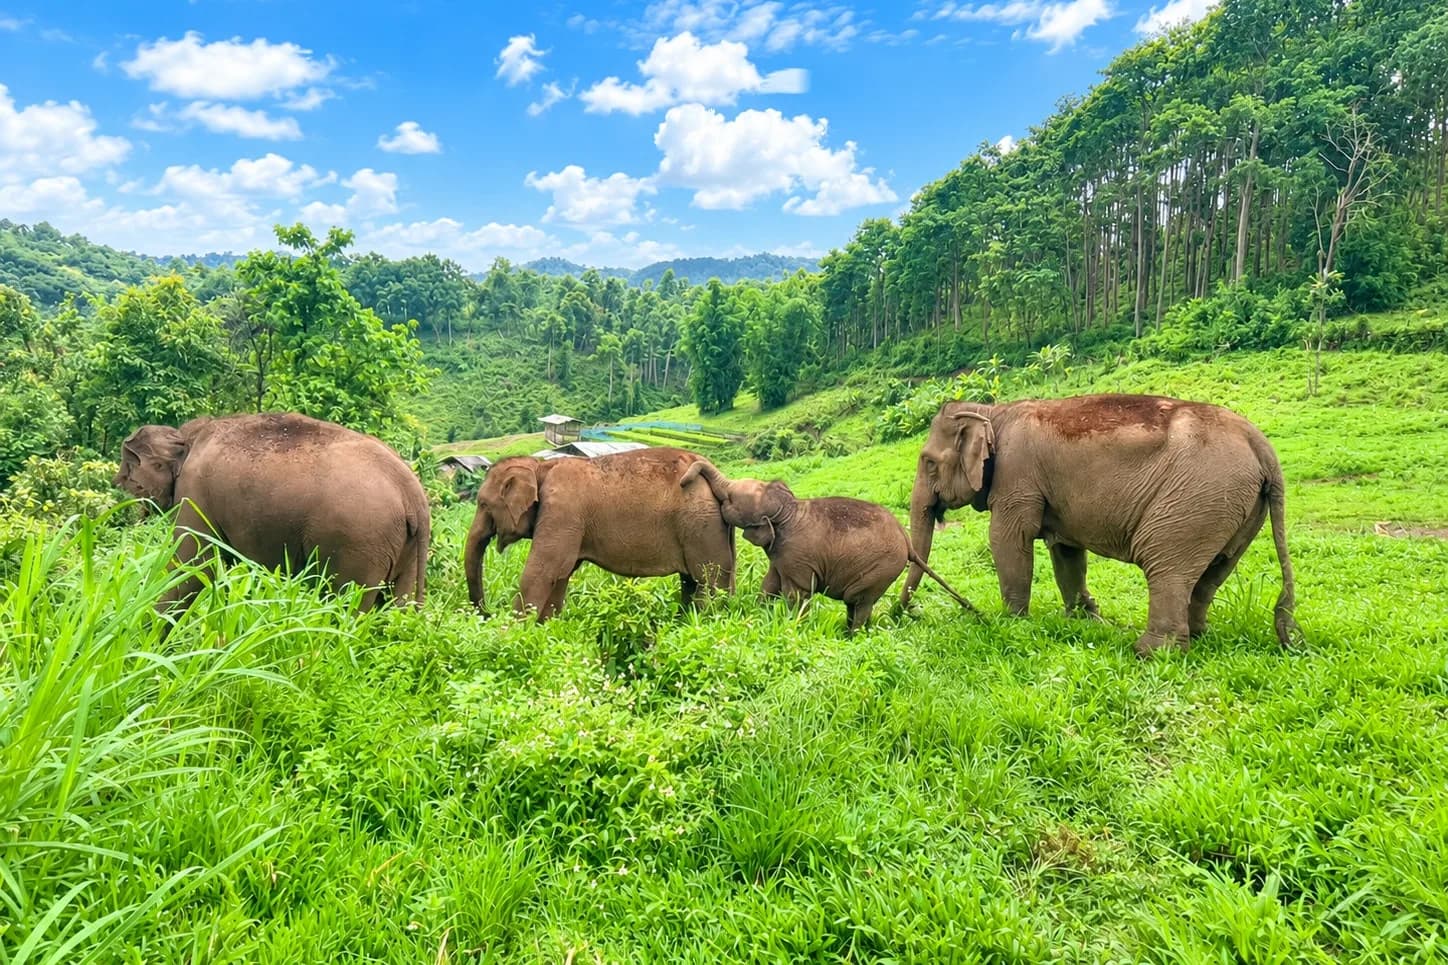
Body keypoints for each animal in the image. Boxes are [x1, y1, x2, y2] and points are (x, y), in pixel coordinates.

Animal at [113, 412, 431, 626]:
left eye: (128, 473)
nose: (118, 483)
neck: (185, 438)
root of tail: (412, 492)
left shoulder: (195, 493)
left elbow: (193, 566)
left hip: (358, 542)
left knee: (346, 605)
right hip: (405, 548)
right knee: (398, 607)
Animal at [464, 447, 735, 621]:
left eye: (483, 504)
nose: (487, 614)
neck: (541, 466)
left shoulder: (563, 512)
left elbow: (542, 571)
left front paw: (512, 634)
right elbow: (561, 575)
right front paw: (546, 628)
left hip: (701, 525)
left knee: (707, 582)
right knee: (693, 582)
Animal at [681, 460, 978, 634]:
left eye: (729, 499)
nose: (684, 481)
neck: (787, 508)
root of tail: (907, 542)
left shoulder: (796, 556)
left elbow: (797, 593)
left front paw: (794, 628)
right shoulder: (782, 555)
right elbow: (770, 584)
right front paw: (759, 615)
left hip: (882, 569)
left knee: (859, 601)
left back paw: (854, 637)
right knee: (856, 603)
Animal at [900, 394, 1300, 656]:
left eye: (929, 463)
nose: (904, 613)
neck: (993, 412)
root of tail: (1261, 444)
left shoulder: (1017, 475)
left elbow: (1008, 539)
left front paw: (1012, 621)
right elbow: (1066, 552)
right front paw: (1085, 621)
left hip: (1197, 497)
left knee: (1166, 566)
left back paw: (1150, 653)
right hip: (1238, 507)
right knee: (1213, 572)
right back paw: (1197, 638)